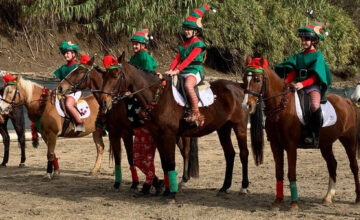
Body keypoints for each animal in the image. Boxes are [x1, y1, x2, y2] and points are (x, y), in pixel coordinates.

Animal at [57, 57, 201, 189]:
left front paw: (141, 182)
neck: (116, 102)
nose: (60, 87)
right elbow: (120, 157)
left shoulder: (125, 133)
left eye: (80, 71)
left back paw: (184, 178)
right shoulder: (114, 132)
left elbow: (131, 157)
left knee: (186, 151)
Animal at [98, 52, 262, 199]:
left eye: (115, 75)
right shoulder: (157, 135)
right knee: (230, 154)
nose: (104, 101)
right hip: (223, 129)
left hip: (239, 127)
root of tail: (240, 87)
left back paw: (243, 187)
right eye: (104, 76)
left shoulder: (168, 135)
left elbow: (170, 162)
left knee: (243, 153)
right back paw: (224, 187)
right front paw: (166, 189)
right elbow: (164, 162)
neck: (158, 95)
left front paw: (171, 193)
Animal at [242, 55, 360, 210]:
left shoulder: (291, 147)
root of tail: (346, 101)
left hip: (349, 141)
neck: (282, 107)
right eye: (244, 79)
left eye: (257, 79)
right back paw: (328, 196)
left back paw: (358, 198)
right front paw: (277, 201)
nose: (247, 105)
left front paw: (294, 204)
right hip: (325, 144)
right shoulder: (275, 145)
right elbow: (279, 172)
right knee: (332, 164)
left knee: (354, 166)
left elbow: (291, 173)